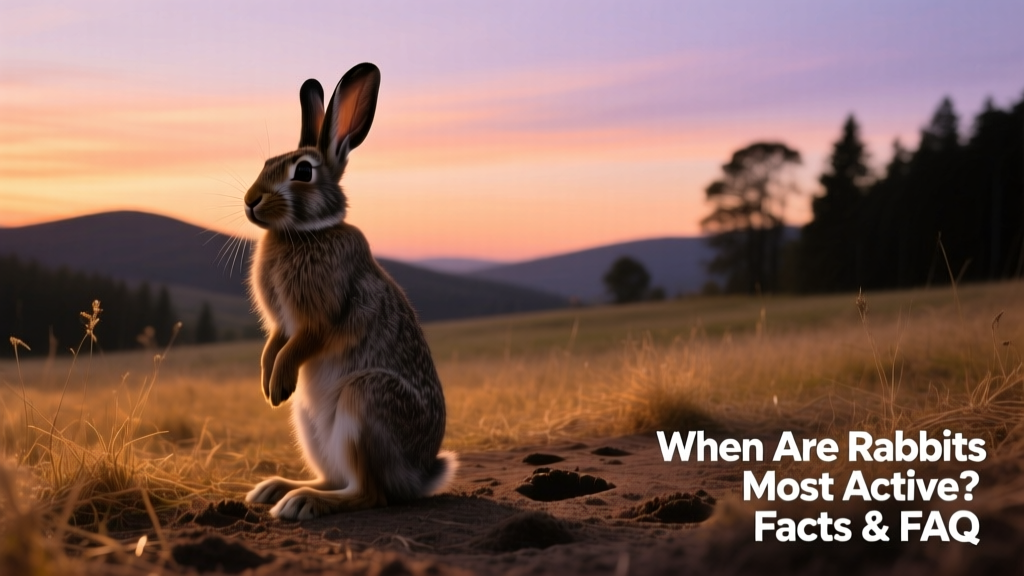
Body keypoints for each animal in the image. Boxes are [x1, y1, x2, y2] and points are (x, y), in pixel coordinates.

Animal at [242, 63, 457, 520]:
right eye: (266, 163)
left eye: (303, 172)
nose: (251, 200)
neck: (304, 234)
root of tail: (420, 474)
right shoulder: (281, 325)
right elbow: (275, 344)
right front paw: (269, 385)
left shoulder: (321, 314)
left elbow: (305, 341)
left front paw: (279, 382)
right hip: (309, 426)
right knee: (336, 477)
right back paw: (276, 489)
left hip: (365, 403)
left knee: (368, 494)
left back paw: (302, 503)